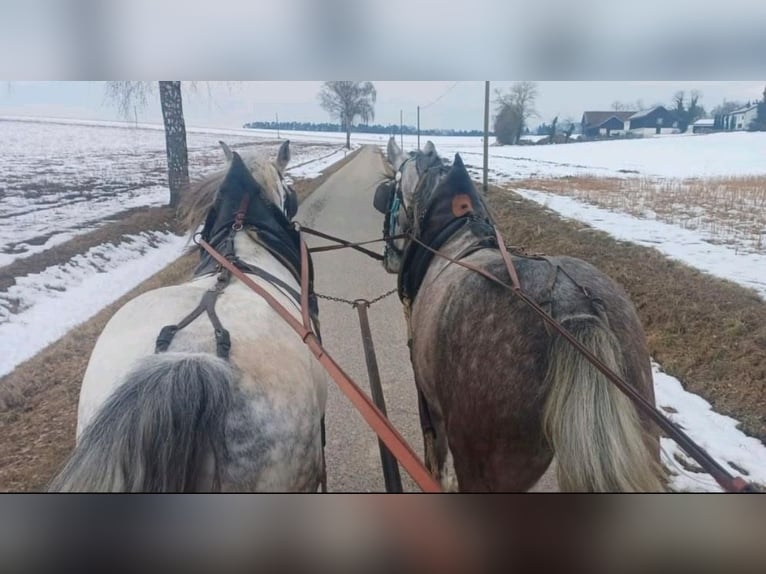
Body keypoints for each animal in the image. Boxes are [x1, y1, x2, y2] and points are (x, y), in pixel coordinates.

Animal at [373, 137, 665, 492]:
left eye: (392, 188)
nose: (388, 257)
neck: (454, 235)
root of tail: (572, 304)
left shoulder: (431, 408)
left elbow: (436, 466)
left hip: (487, 462)